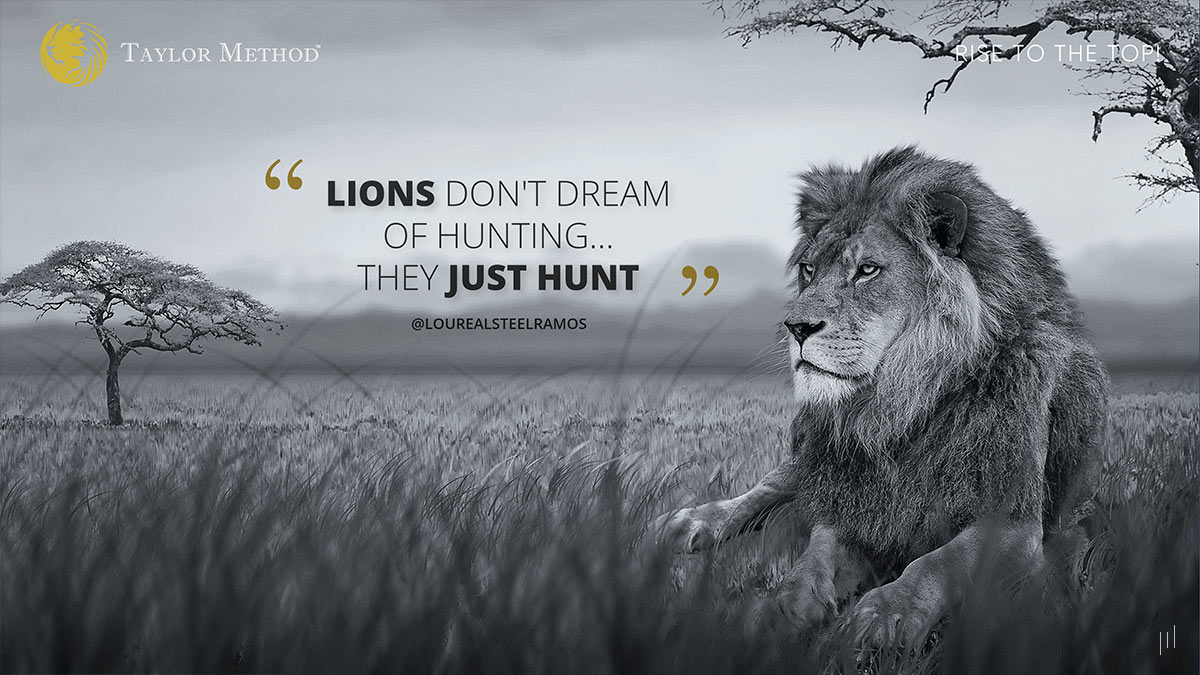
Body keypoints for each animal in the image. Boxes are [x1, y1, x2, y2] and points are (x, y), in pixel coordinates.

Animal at [656, 146, 1108, 646]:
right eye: (809, 269)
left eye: (867, 270)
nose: (795, 328)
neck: (900, 406)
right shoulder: (851, 492)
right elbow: (815, 553)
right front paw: (784, 606)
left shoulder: (1014, 521)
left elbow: (936, 562)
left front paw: (886, 612)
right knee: (776, 483)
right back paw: (698, 521)